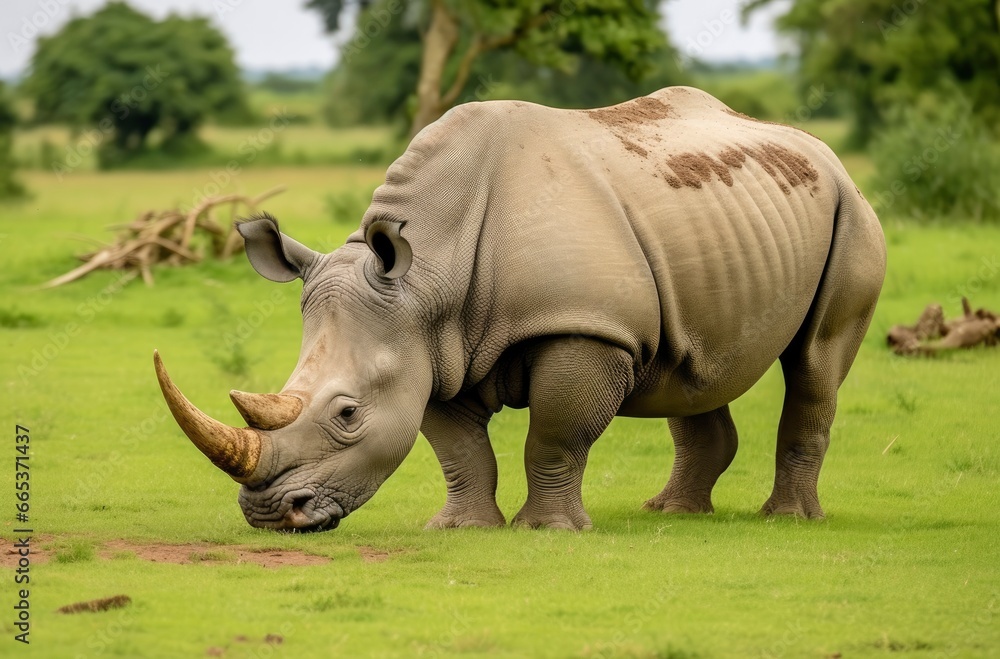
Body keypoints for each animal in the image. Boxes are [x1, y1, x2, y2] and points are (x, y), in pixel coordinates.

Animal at [154, 86, 886, 532]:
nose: (269, 514)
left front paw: (549, 530)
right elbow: (459, 448)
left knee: (815, 363)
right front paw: (461, 527)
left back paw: (788, 519)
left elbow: (555, 434)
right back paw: (672, 513)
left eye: (348, 414)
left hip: (851, 213)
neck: (428, 273)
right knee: (697, 363)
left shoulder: (585, 328)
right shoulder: (431, 346)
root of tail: (819, 148)